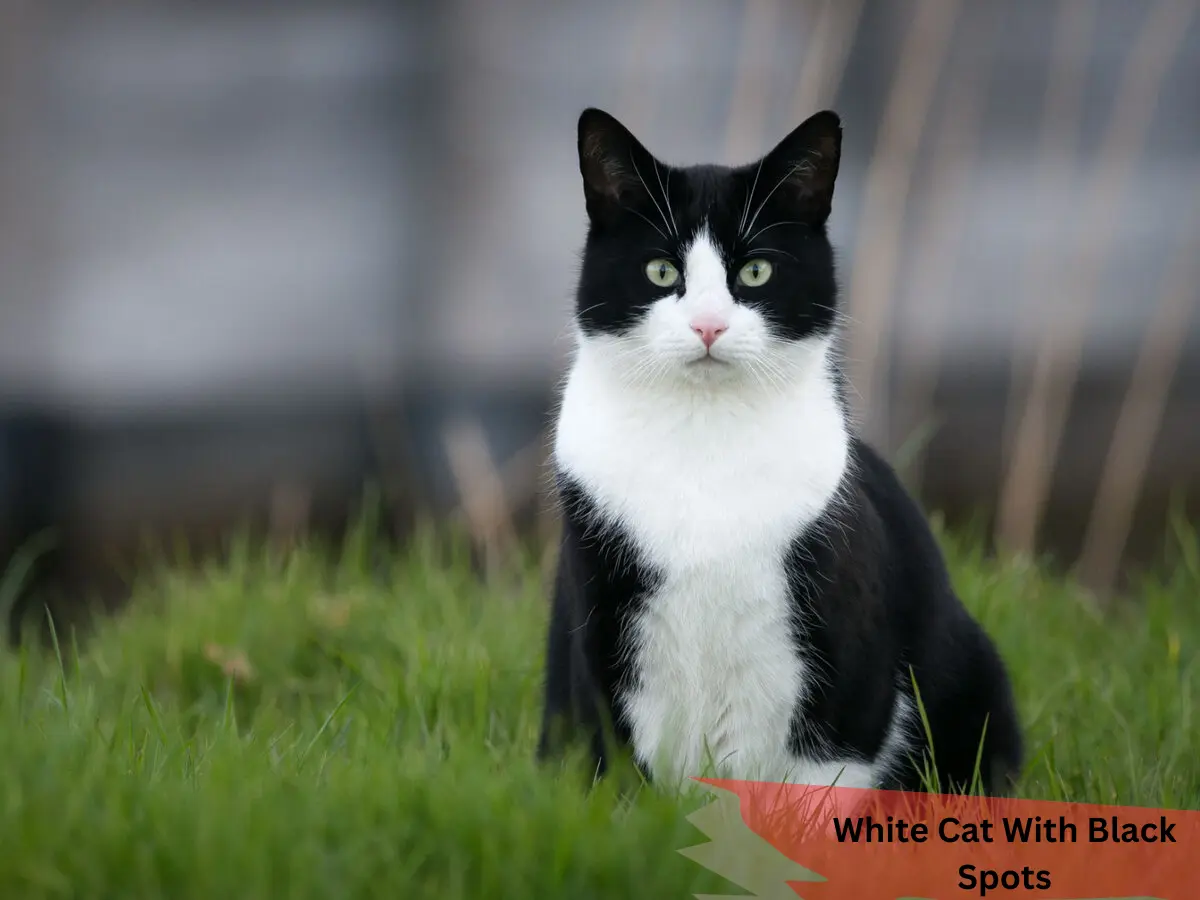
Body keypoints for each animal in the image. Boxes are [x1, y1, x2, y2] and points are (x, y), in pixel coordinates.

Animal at [540, 103, 1017, 796]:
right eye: (661, 271)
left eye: (756, 271)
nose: (708, 325)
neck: (703, 440)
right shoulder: (602, 623)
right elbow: (626, 762)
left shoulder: (844, 657)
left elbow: (821, 780)